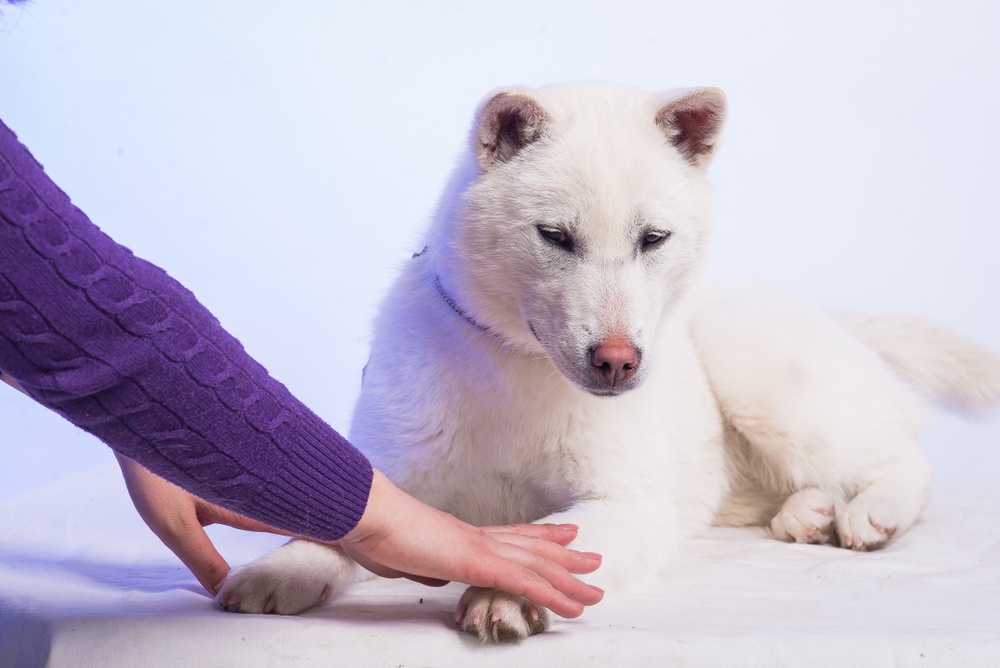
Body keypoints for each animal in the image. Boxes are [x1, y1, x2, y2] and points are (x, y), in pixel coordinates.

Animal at [215, 83, 996, 640]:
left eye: (653, 238)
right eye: (555, 236)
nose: (618, 362)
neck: (516, 366)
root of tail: (833, 318)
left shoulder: (627, 509)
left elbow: (555, 543)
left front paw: (505, 589)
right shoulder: (396, 485)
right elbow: (337, 525)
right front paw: (283, 566)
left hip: (752, 364)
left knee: (903, 458)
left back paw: (872, 514)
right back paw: (809, 513)